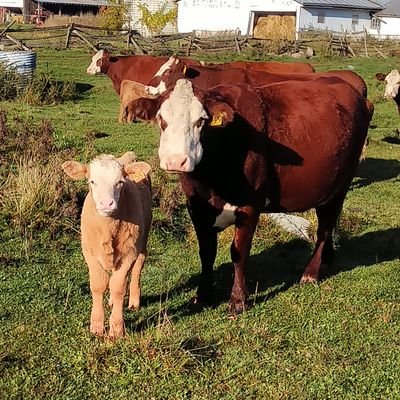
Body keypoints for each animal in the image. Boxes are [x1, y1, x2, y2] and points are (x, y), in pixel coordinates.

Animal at [61, 153, 152, 338]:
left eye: (120, 182)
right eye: (92, 181)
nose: (106, 203)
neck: (108, 228)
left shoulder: (129, 253)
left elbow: (118, 287)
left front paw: (116, 328)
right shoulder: (89, 253)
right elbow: (98, 285)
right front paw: (96, 325)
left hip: (142, 239)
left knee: (137, 267)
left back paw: (134, 300)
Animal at [126, 78, 370, 314]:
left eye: (201, 121)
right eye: (161, 118)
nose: (177, 160)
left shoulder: (250, 205)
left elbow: (239, 252)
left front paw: (238, 300)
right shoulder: (196, 206)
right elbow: (206, 252)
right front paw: (202, 296)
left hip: (340, 184)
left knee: (324, 228)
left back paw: (310, 273)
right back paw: (327, 258)